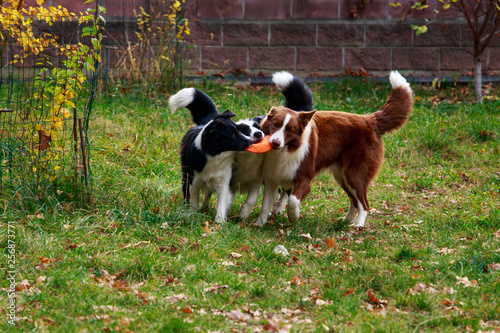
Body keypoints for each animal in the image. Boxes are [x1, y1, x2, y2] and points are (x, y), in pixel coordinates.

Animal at [169, 88, 254, 223]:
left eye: (240, 130)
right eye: (233, 134)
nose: (251, 141)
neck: (214, 156)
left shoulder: (224, 182)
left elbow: (221, 204)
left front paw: (219, 222)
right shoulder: (193, 182)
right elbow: (194, 201)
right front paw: (193, 215)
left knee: (207, 194)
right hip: (185, 176)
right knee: (187, 195)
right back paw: (186, 209)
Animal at [254, 71, 414, 227]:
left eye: (290, 130)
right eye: (275, 124)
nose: (275, 142)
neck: (285, 151)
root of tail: (370, 120)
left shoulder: (304, 177)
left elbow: (293, 200)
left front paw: (294, 216)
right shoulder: (271, 179)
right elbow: (265, 204)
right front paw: (259, 223)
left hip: (355, 173)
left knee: (364, 202)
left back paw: (358, 224)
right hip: (342, 176)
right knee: (354, 201)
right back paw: (346, 220)